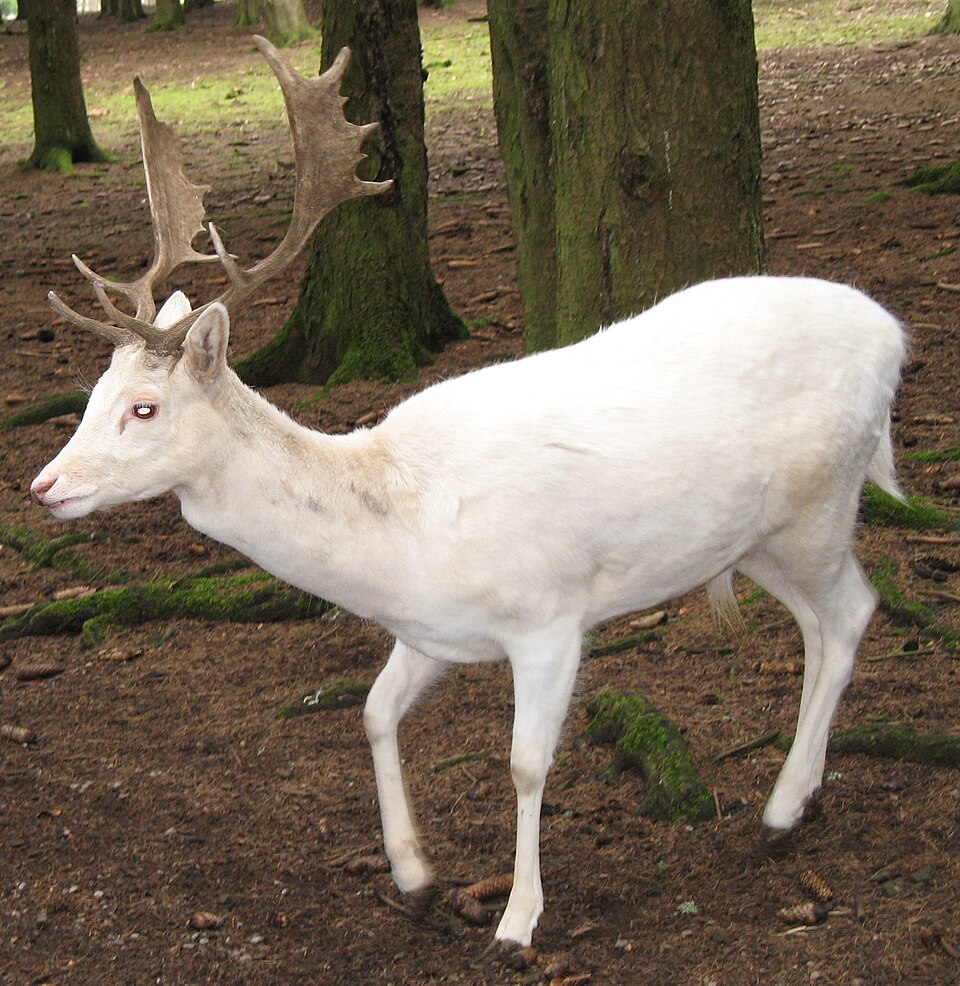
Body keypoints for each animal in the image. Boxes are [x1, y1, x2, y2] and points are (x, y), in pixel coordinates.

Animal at [30, 38, 906, 952]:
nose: (44, 486)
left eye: (144, 406)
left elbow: (524, 764)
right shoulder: (428, 632)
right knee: (820, 625)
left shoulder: (550, 617)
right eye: (93, 391)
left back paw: (779, 810)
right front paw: (414, 876)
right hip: (760, 538)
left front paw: (518, 920)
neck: (403, 537)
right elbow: (374, 712)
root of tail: (895, 335)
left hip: (820, 505)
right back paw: (801, 797)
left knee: (853, 610)